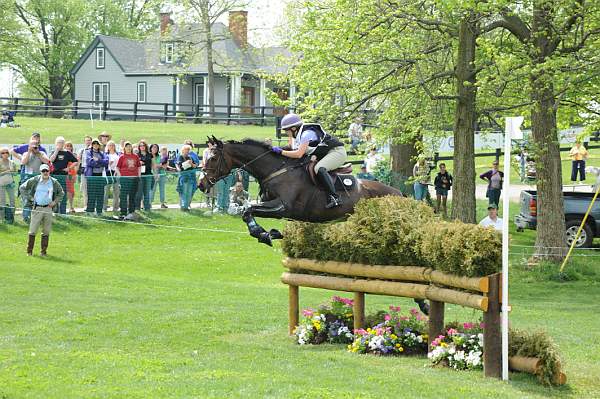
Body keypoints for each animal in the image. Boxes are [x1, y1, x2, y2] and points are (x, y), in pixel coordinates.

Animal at [199, 136, 428, 318]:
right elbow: (250, 213)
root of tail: (399, 194)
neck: (277, 170)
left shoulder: (282, 207)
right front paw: (270, 233)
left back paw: (423, 303)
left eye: (213, 158)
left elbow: (248, 211)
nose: (202, 184)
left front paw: (262, 234)